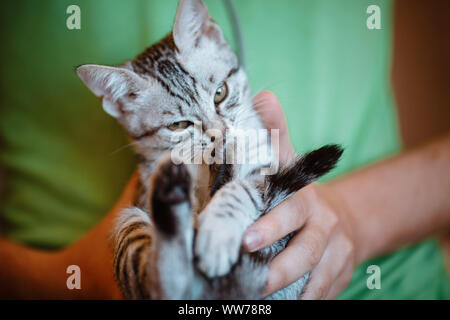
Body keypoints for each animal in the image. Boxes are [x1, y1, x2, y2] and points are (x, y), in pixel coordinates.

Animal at [76, 0, 342, 300]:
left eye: (220, 93)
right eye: (179, 125)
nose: (219, 133)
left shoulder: (267, 171)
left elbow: (241, 187)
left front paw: (218, 230)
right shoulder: (143, 190)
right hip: (129, 222)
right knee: (161, 285)